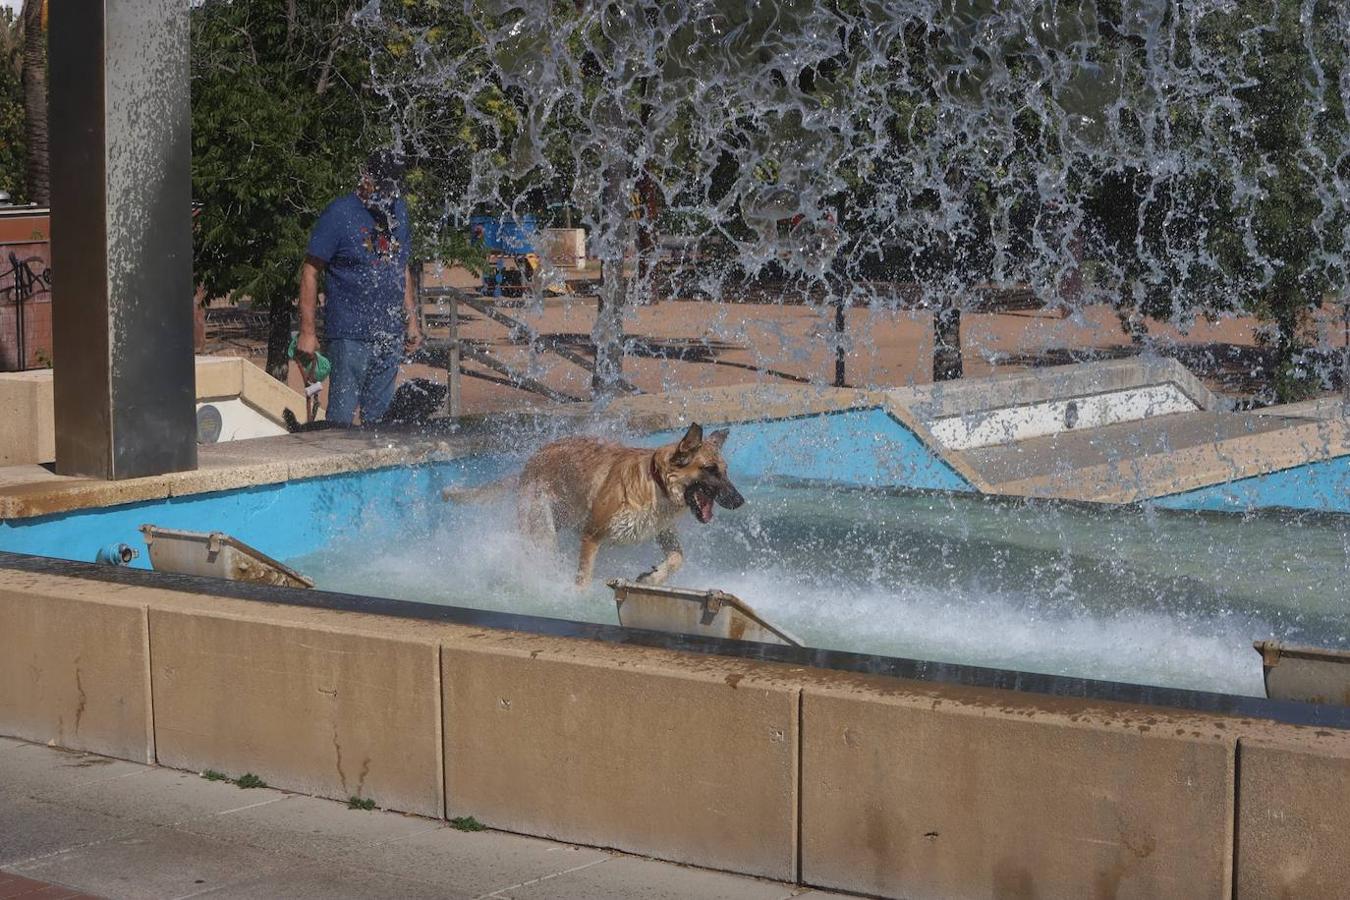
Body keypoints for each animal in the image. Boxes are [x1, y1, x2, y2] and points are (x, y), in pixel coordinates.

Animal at [442, 423, 745, 588]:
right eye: (710, 470)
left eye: (726, 471)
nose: (740, 501)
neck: (654, 483)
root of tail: (532, 460)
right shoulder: (592, 535)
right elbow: (584, 579)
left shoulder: (663, 531)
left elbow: (677, 558)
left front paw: (653, 578)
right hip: (542, 527)